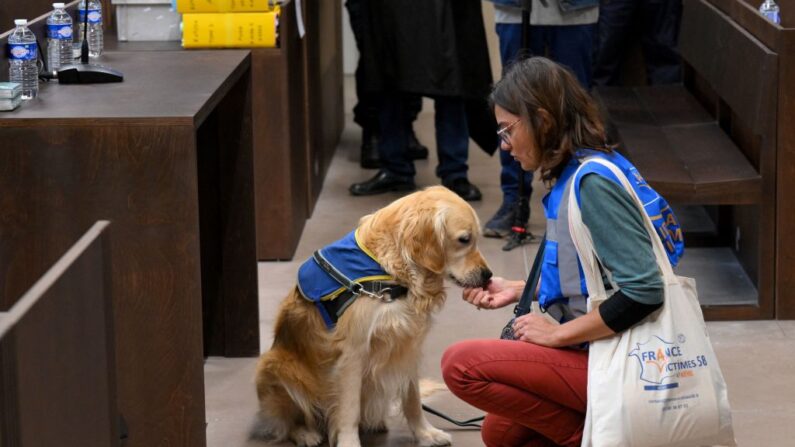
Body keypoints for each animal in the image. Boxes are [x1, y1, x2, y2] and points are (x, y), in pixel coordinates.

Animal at [255, 184, 492, 446]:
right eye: (464, 240)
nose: (488, 275)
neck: (390, 271)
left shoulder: (407, 344)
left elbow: (413, 400)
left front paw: (425, 433)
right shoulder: (353, 352)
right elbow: (349, 409)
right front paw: (349, 442)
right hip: (276, 366)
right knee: (287, 420)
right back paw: (305, 433)